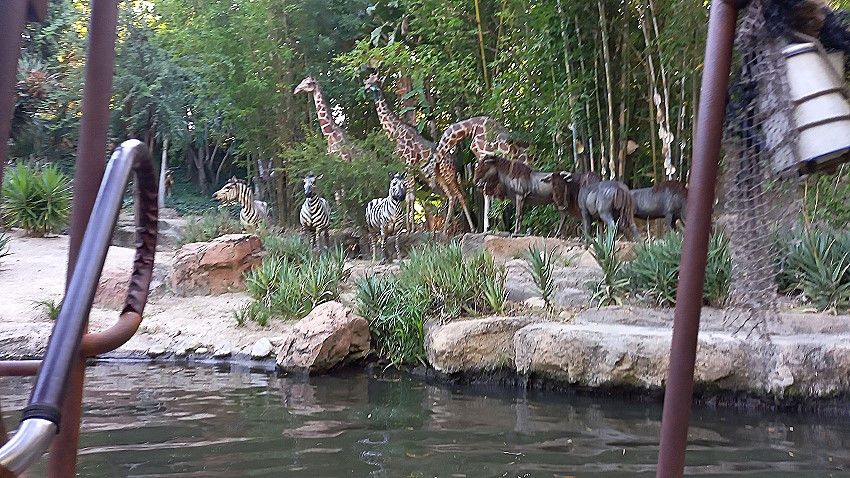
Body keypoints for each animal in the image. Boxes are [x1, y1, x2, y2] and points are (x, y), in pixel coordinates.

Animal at [362, 72, 474, 233]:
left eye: (375, 82)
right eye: (367, 82)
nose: (366, 88)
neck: (395, 133)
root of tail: (452, 159)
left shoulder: (409, 162)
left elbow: (410, 196)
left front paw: (411, 229)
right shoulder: (405, 164)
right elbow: (409, 194)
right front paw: (409, 228)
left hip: (447, 173)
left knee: (460, 194)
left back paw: (472, 228)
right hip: (439, 175)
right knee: (452, 195)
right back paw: (445, 229)